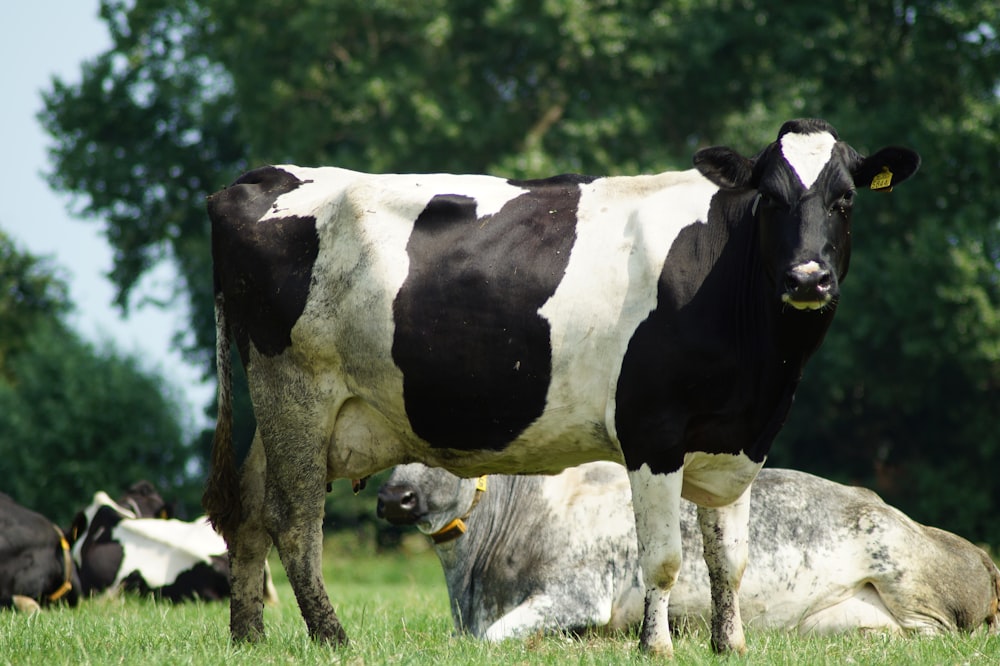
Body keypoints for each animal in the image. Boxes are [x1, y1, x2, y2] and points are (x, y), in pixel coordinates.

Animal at [205, 115, 920, 652]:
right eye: (770, 198)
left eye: (845, 199)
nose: (807, 279)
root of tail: (256, 178)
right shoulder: (652, 431)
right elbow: (664, 557)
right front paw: (656, 647)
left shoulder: (733, 440)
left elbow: (728, 561)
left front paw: (730, 646)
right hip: (297, 387)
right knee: (294, 520)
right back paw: (332, 638)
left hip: (290, 407)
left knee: (250, 509)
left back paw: (249, 637)